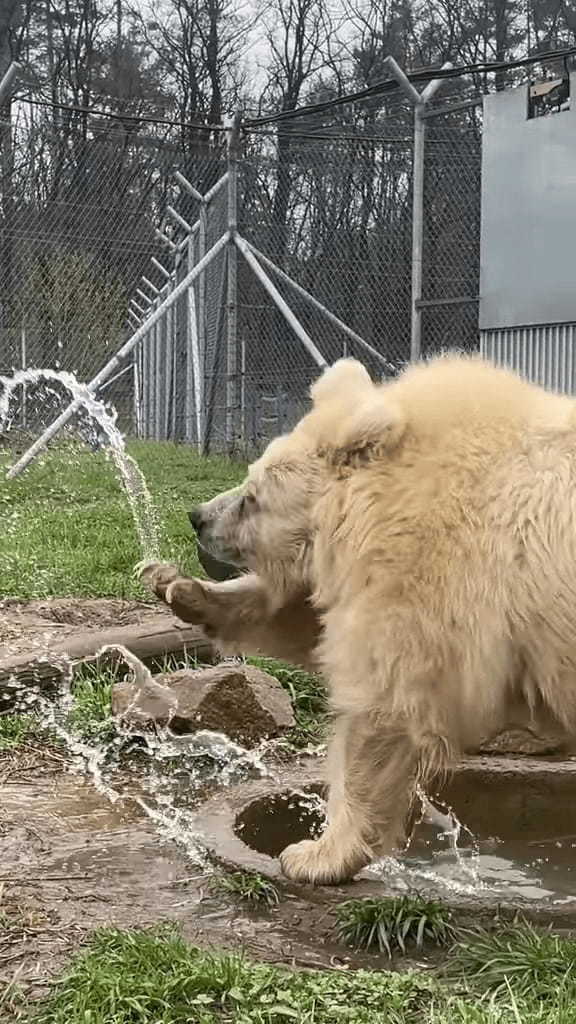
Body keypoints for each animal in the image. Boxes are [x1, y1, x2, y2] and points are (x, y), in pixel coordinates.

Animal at [138, 356, 576, 884]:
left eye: (253, 495)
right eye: (249, 474)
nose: (197, 516)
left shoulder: (436, 569)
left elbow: (384, 698)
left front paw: (315, 854)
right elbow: (308, 619)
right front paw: (175, 585)